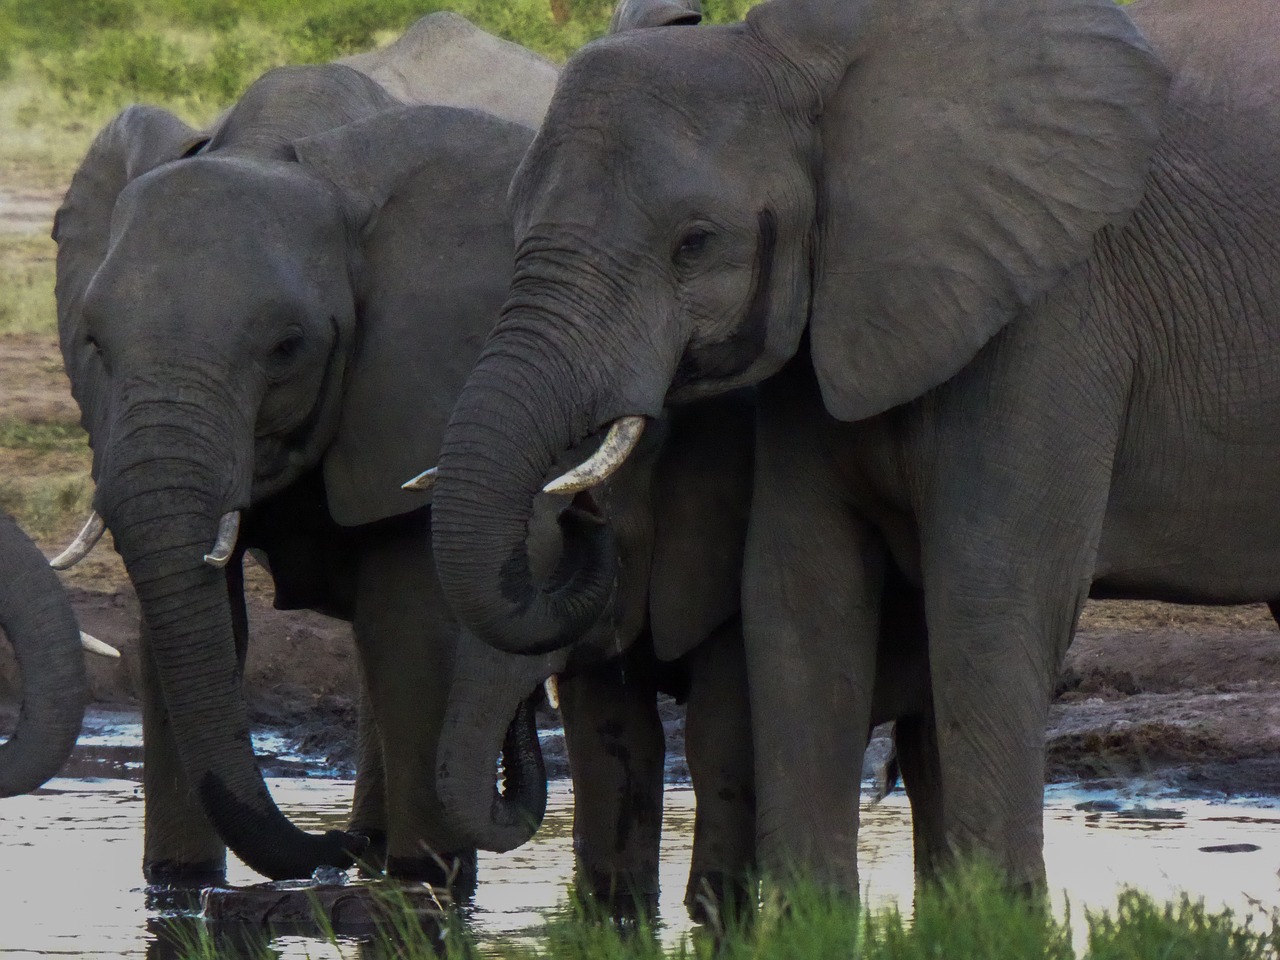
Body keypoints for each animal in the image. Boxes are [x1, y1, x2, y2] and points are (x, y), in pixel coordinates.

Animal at [53, 15, 555, 885]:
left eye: (287, 347)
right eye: (94, 343)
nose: (331, 852)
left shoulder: (423, 373)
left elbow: (408, 626)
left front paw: (425, 883)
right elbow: (191, 627)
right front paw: (178, 890)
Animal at [427, 0, 1280, 896]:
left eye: (694, 243)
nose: (580, 513)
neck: (806, 67)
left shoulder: (1052, 310)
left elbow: (988, 594)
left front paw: (999, 910)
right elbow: (799, 590)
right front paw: (810, 912)